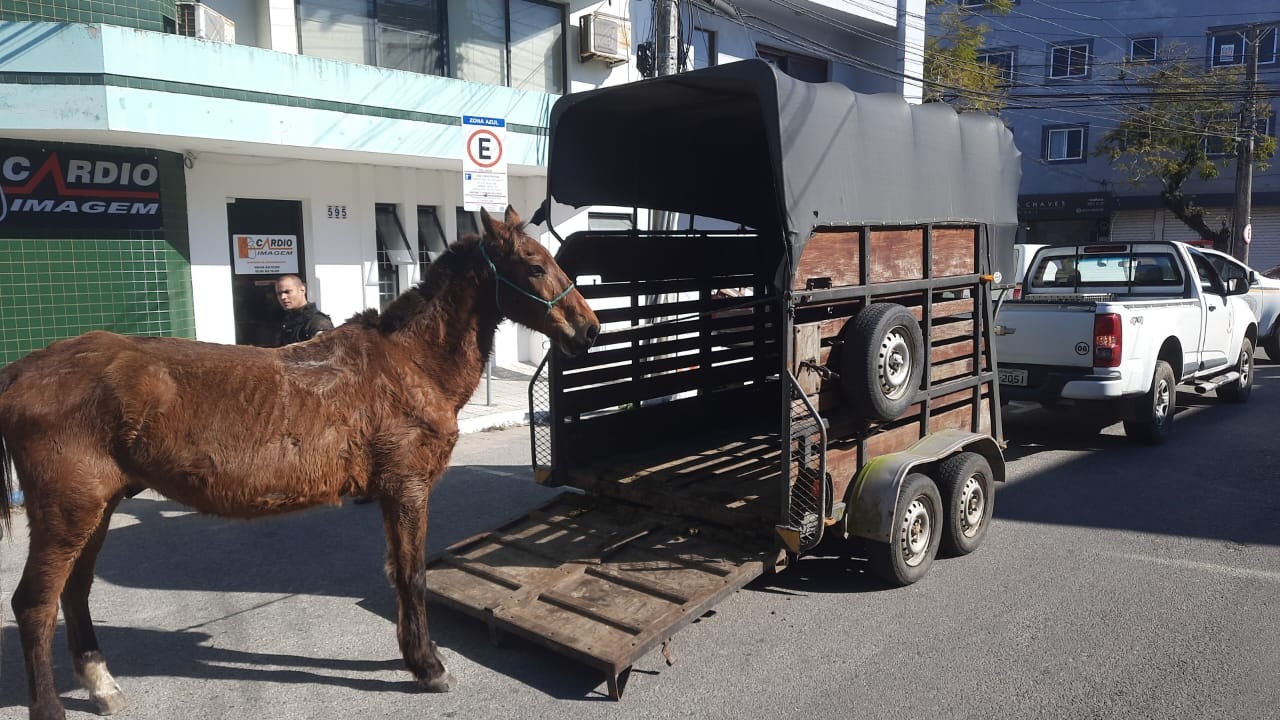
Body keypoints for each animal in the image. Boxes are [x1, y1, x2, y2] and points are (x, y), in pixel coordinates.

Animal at [0, 205, 599, 720]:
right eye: (534, 266)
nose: (589, 329)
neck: (409, 363)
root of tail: (24, 369)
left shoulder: (392, 493)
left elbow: (398, 574)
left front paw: (412, 656)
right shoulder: (407, 487)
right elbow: (412, 574)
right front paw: (428, 667)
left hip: (95, 510)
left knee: (74, 592)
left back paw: (101, 684)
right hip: (67, 513)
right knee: (35, 604)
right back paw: (51, 706)